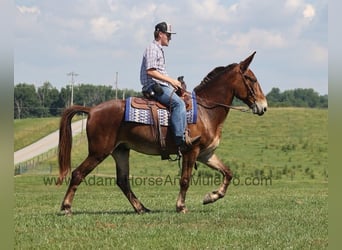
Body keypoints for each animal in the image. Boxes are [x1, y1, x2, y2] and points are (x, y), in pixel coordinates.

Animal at [58, 51, 268, 214]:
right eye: (251, 79)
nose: (263, 106)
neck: (205, 110)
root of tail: (92, 110)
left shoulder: (205, 154)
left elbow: (228, 173)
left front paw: (211, 196)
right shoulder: (191, 151)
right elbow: (185, 180)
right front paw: (181, 206)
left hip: (120, 151)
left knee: (123, 181)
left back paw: (141, 208)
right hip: (99, 152)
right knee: (78, 173)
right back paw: (67, 207)